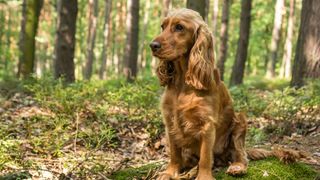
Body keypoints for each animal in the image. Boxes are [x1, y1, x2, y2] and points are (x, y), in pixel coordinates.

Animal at [149, 7, 304, 179]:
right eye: (163, 26)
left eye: (179, 27)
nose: (152, 45)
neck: (184, 82)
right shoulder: (170, 120)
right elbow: (175, 153)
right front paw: (170, 173)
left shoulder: (207, 124)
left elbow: (205, 157)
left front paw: (204, 177)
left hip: (240, 123)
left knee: (240, 155)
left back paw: (237, 167)